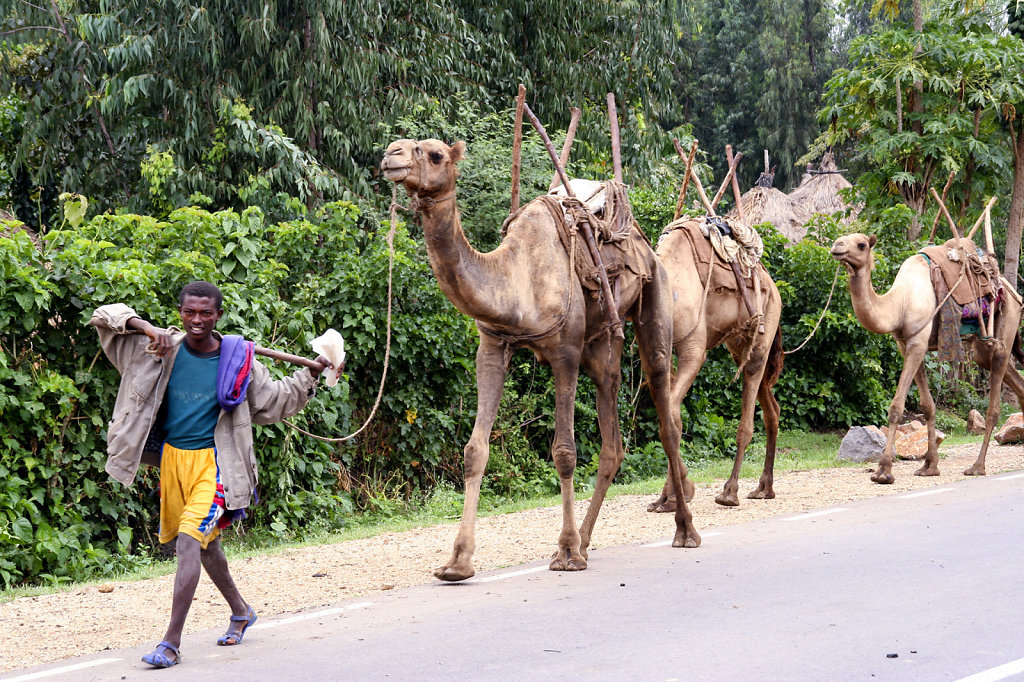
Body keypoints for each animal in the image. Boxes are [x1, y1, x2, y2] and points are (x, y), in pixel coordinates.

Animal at [380, 137, 700, 577]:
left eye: (435, 154)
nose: (390, 155)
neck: (517, 278)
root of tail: (644, 245)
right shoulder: (492, 346)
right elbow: (474, 450)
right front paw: (457, 562)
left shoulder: (564, 352)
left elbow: (564, 452)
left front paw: (566, 554)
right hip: (602, 344)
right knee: (613, 439)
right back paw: (586, 540)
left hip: (655, 301)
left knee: (666, 416)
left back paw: (684, 531)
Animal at [647, 220, 782, 507]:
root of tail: (772, 284)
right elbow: (673, 417)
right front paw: (669, 496)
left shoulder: (694, 348)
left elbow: (671, 415)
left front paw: (679, 493)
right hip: (739, 345)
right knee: (772, 409)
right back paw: (764, 488)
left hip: (763, 332)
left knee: (748, 417)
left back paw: (730, 491)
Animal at [827, 233, 1024, 483]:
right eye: (840, 239)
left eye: (861, 245)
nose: (837, 246)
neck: (900, 303)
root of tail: (1014, 293)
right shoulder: (907, 344)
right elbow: (927, 406)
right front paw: (930, 466)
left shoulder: (918, 342)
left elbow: (896, 407)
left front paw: (884, 471)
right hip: (983, 346)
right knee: (1010, 378)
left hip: (1007, 320)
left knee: (994, 405)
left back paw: (977, 466)